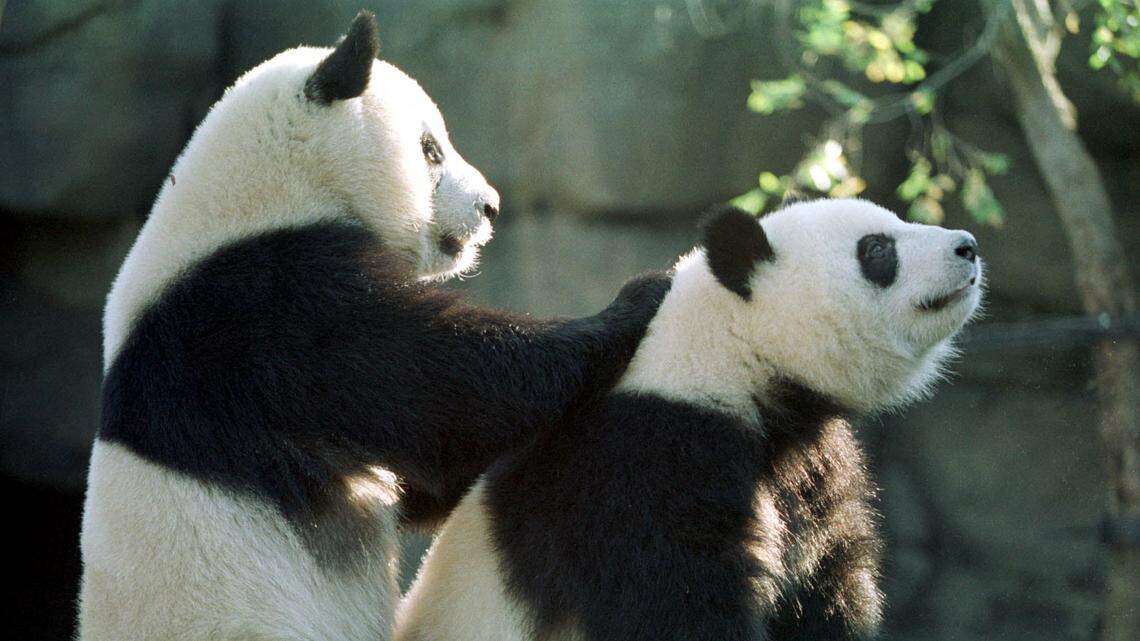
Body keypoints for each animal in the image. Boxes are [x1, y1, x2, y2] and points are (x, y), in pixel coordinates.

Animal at [78, 11, 668, 641]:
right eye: (431, 150)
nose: (490, 207)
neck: (263, 191)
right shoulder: (258, 310)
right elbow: (443, 391)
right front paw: (637, 299)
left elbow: (432, 475)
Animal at [396, 199, 984, 641]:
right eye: (878, 249)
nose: (968, 246)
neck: (732, 349)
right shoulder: (644, 459)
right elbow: (672, 599)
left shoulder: (810, 458)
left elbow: (826, 581)